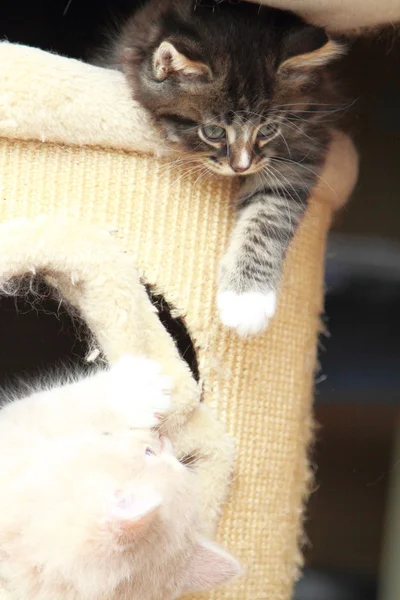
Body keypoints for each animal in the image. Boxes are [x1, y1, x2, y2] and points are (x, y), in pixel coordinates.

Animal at [97, 0, 344, 338]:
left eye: (268, 130)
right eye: (213, 132)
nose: (241, 166)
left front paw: (247, 299)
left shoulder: (305, 144)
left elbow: (270, 215)